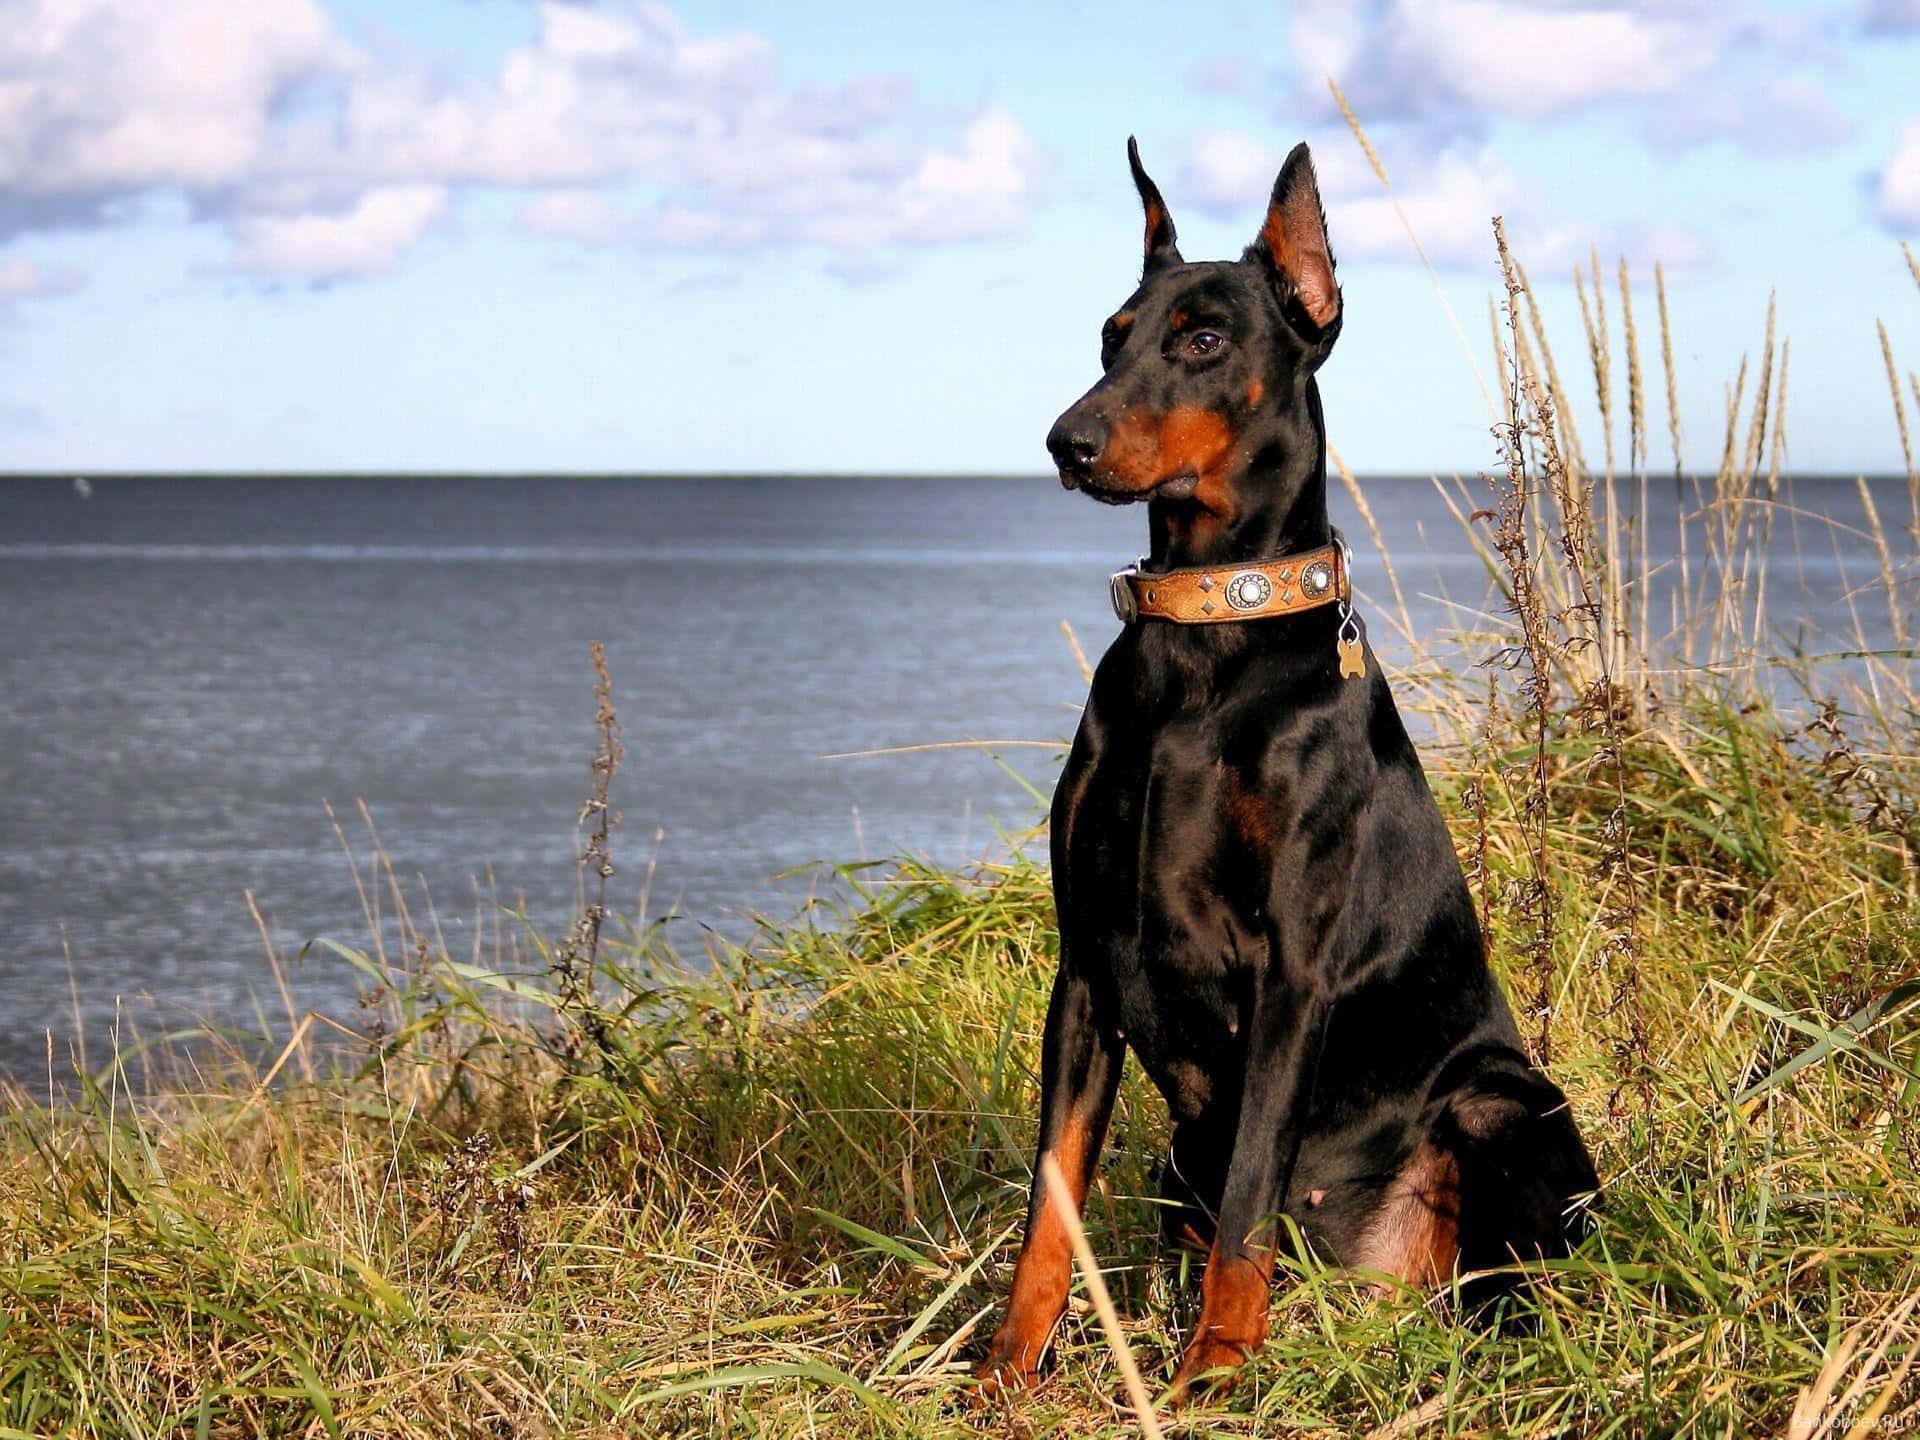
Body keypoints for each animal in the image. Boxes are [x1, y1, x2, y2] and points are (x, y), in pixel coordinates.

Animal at [975, 141, 1605, 1405]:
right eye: (1112, 333)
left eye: (1206, 338)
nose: (1066, 441)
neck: (1204, 643)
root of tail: (1383, 1288)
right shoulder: (1086, 970)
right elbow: (1048, 1205)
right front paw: (1006, 1370)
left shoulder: (1291, 973)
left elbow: (1252, 1202)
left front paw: (1213, 1375)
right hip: (1180, 1154)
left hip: (1501, 1103)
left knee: (1516, 1285)